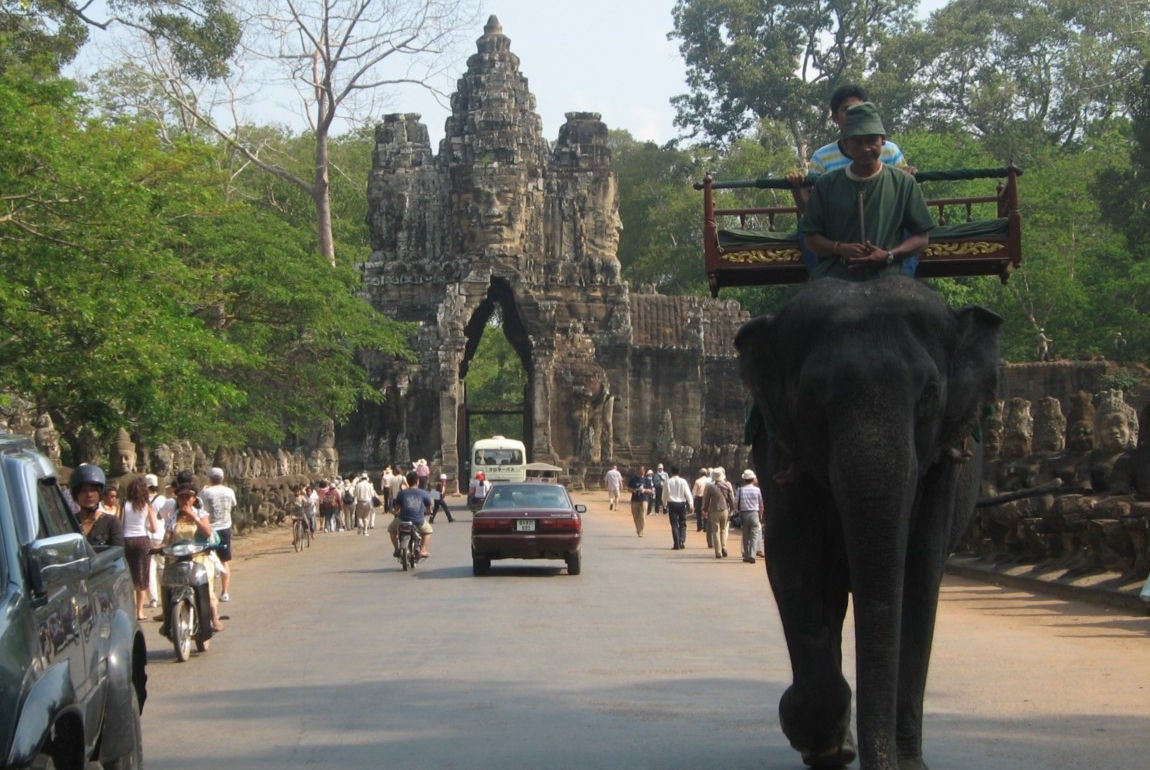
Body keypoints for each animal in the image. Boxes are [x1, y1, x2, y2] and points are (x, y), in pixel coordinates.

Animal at [736, 279, 998, 770]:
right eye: (811, 398)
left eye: (929, 395)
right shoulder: (782, 459)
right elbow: (797, 571)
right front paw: (821, 738)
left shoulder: (943, 467)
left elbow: (917, 582)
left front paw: (906, 762)